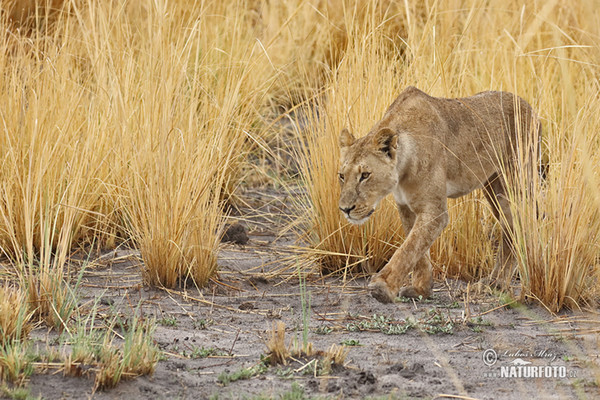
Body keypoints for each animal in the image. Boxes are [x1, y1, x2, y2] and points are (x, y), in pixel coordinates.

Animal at [340, 85, 540, 304]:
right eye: (342, 176)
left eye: (365, 175)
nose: (345, 209)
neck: (402, 169)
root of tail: (527, 105)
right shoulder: (406, 206)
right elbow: (417, 249)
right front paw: (420, 289)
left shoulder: (435, 211)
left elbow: (408, 248)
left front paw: (382, 286)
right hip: (493, 186)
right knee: (509, 227)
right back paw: (491, 283)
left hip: (515, 181)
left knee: (518, 224)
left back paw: (500, 284)